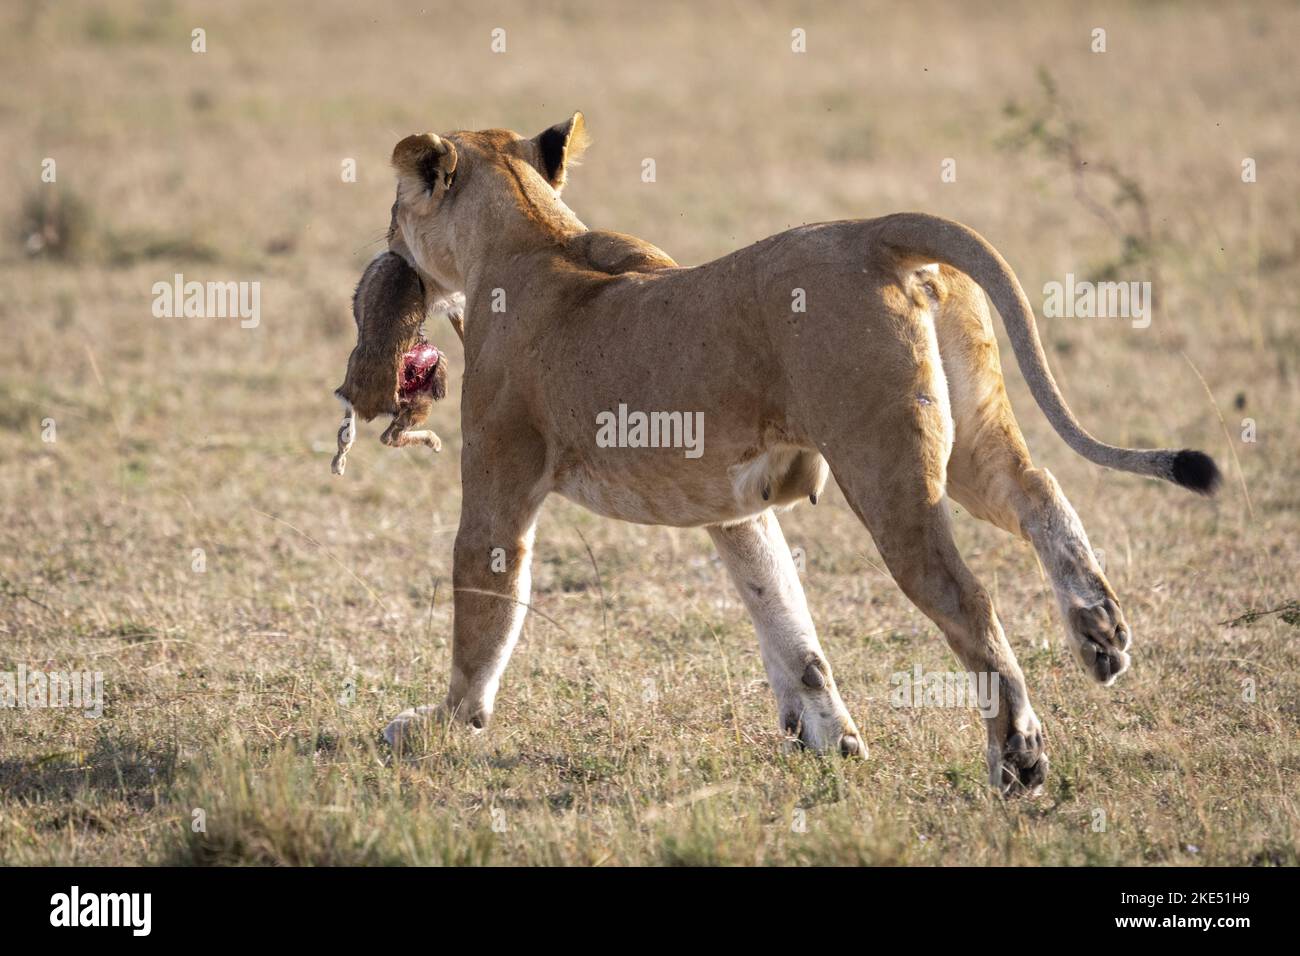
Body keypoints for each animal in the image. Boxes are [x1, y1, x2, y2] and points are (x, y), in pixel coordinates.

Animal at [370, 113, 1220, 794]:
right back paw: (1100, 630)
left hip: (883, 467)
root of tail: (871, 229)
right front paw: (830, 736)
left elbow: (482, 617)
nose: (384, 242)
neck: (531, 233)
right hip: (968, 444)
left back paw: (1018, 754)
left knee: (969, 599)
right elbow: (781, 610)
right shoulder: (727, 506)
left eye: (396, 205)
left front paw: (437, 723)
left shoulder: (499, 483)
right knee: (1039, 490)